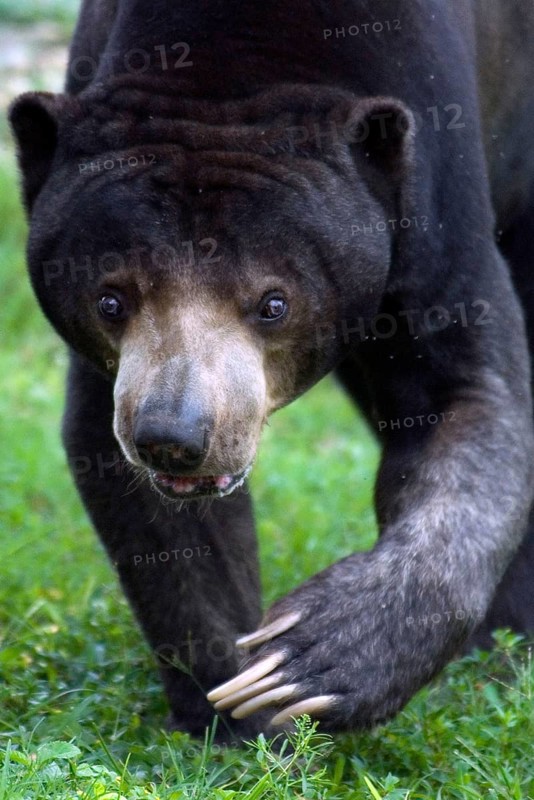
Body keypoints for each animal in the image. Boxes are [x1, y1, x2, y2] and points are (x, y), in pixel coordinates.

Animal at [8, 0, 534, 741]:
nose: (173, 437)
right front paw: (244, 711)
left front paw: (311, 660)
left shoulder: (437, 191)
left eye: (273, 303)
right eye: (111, 298)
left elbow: (470, 402)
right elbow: (154, 507)